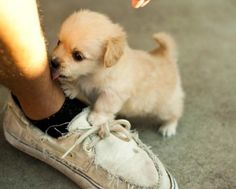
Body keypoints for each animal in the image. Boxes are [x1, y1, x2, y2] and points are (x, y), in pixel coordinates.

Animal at [51, 9, 184, 137]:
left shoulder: (112, 93)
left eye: (77, 56)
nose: (53, 62)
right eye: (58, 42)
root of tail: (166, 56)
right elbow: (78, 82)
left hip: (166, 106)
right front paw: (71, 87)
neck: (93, 73)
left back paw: (168, 128)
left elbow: (102, 106)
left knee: (175, 113)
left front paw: (96, 118)